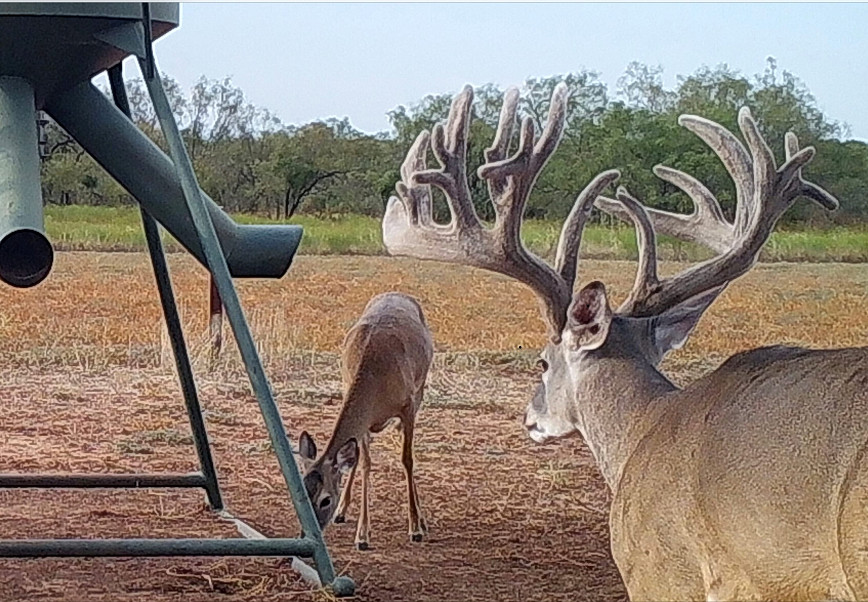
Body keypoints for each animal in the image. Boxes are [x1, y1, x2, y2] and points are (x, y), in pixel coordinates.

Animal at [298, 290, 434, 548]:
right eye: (300, 495)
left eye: (325, 500)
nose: (306, 535)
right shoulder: (363, 419)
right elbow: (364, 462)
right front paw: (362, 534)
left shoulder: (408, 405)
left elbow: (407, 459)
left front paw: (415, 527)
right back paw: (343, 512)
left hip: (421, 388)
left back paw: (422, 519)